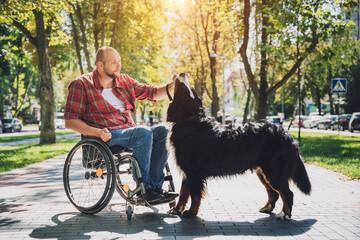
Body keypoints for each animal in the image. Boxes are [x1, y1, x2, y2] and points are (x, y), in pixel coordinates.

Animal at [167, 72, 310, 219]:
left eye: (185, 87)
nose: (182, 73)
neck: (190, 121)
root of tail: (287, 134)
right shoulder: (187, 171)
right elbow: (183, 193)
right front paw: (176, 209)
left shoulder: (193, 171)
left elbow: (194, 195)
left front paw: (191, 212)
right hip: (263, 172)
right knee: (274, 193)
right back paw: (267, 208)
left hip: (273, 171)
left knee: (287, 193)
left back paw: (285, 214)